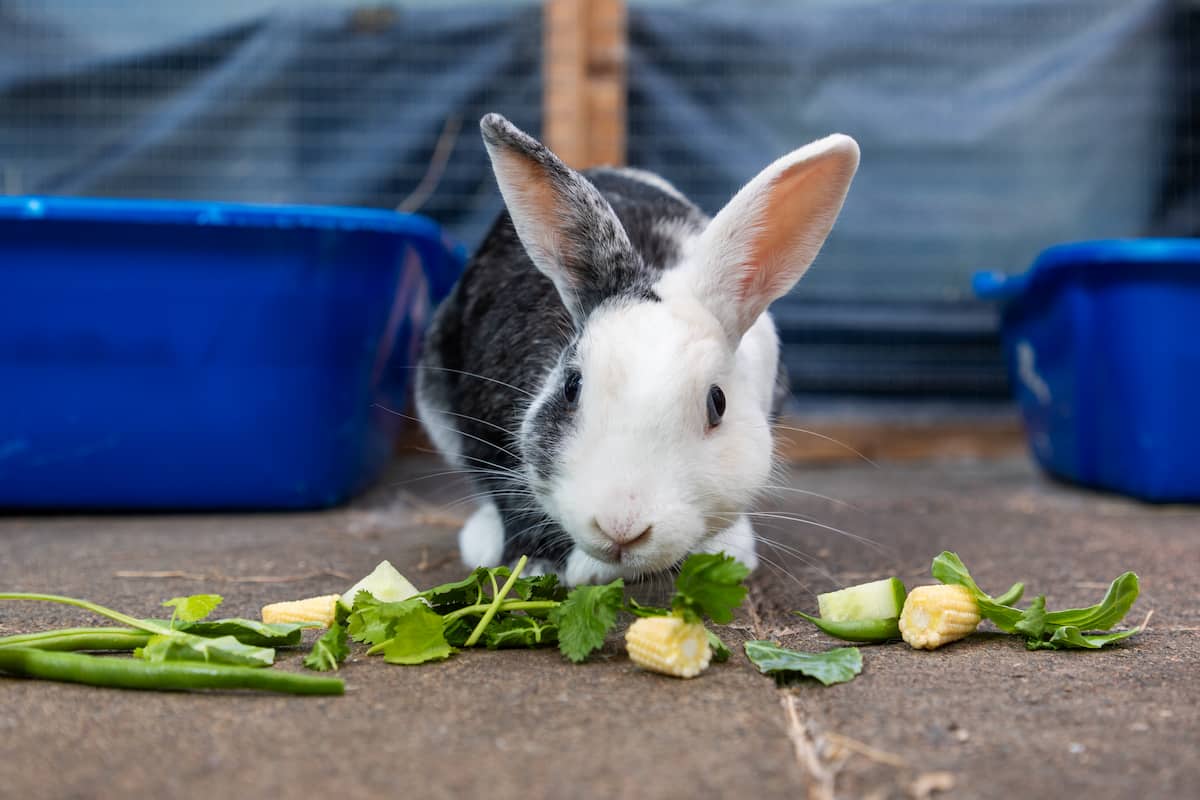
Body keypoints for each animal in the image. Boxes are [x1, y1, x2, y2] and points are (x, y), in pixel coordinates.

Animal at [416, 113, 859, 585]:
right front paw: (545, 569)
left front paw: (726, 553)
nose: (621, 526)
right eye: (571, 387)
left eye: (717, 403)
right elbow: (511, 501)